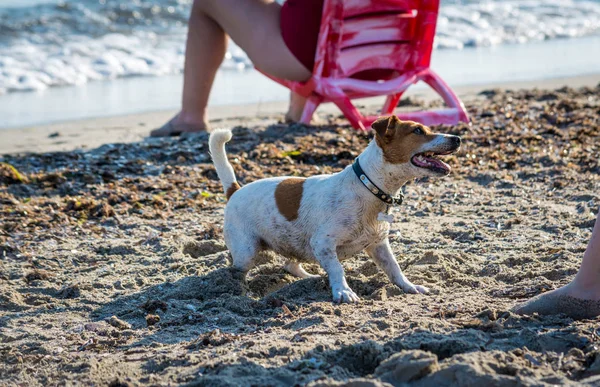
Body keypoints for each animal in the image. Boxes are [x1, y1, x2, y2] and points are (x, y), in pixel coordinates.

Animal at [209, 116, 462, 304]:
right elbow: (337, 268)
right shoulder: (322, 243)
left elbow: (395, 268)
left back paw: (309, 277)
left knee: (289, 264)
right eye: (418, 131)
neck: (368, 185)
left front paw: (409, 287)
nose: (458, 138)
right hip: (247, 252)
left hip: (292, 244)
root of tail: (235, 190)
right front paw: (343, 291)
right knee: (235, 271)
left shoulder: (379, 245)